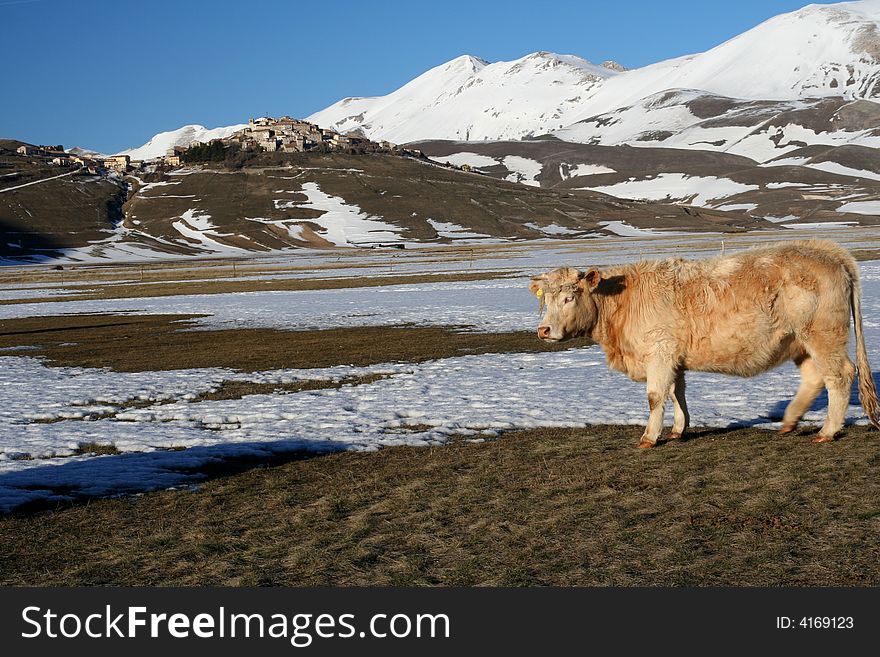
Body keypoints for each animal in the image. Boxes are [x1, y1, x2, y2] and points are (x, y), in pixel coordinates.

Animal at [528, 238, 880, 448]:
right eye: (547, 298)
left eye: (570, 297)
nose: (544, 330)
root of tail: (825, 249)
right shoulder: (673, 357)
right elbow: (675, 392)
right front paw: (678, 429)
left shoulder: (659, 352)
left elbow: (655, 397)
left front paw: (649, 437)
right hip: (799, 340)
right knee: (814, 377)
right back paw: (790, 421)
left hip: (823, 335)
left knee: (838, 376)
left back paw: (827, 431)